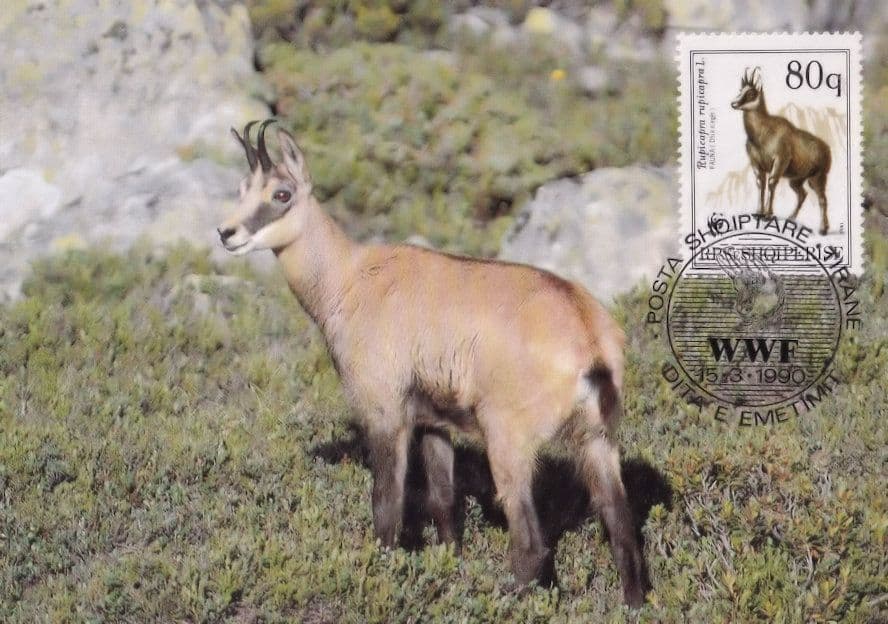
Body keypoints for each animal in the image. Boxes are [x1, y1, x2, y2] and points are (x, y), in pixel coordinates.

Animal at [217, 120, 648, 607]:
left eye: (282, 193)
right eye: (241, 188)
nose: (227, 233)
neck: (349, 279)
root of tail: (590, 338)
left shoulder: (385, 411)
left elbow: (387, 505)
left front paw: (380, 571)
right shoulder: (433, 421)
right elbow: (443, 501)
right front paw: (448, 564)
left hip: (508, 439)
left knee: (531, 545)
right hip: (598, 440)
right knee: (622, 528)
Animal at [731, 67, 832, 235]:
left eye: (751, 93)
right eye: (741, 90)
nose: (734, 103)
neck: (762, 133)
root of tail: (826, 148)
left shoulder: (779, 161)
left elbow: (771, 183)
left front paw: (767, 215)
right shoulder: (756, 164)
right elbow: (760, 183)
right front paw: (758, 213)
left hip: (817, 178)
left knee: (822, 198)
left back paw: (823, 229)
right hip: (796, 180)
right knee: (803, 195)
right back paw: (791, 218)